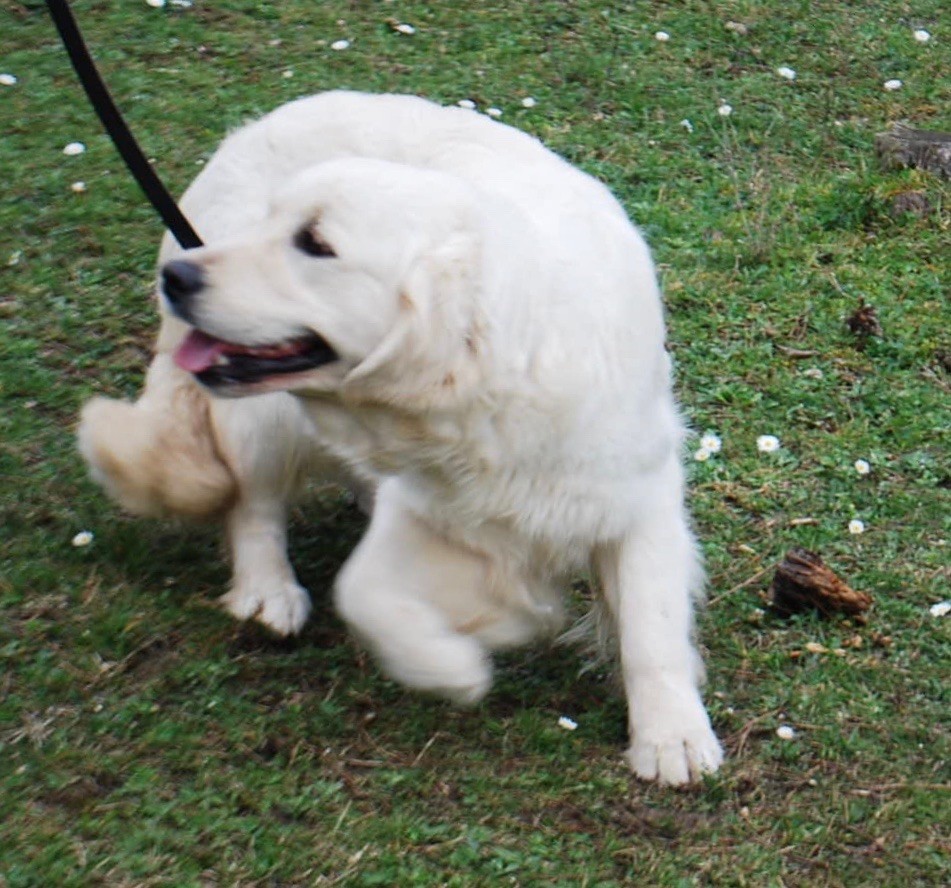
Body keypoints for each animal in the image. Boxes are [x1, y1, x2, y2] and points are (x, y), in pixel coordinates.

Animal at [79, 91, 723, 784]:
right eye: (273, 223)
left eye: (315, 244)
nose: (178, 277)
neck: (498, 379)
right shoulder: (425, 504)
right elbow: (362, 591)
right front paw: (461, 659)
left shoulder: (637, 493)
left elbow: (651, 628)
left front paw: (673, 735)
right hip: (265, 415)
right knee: (254, 508)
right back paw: (266, 591)